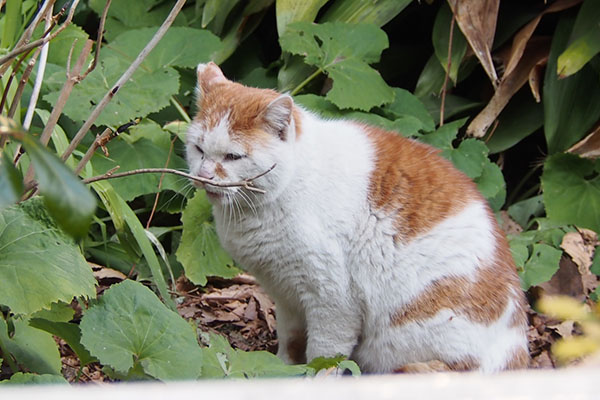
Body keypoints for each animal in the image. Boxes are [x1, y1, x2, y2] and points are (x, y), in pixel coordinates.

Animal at [185, 61, 528, 374]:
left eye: (233, 157)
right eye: (199, 149)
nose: (203, 176)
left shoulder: (333, 301)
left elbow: (324, 357)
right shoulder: (286, 296)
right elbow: (290, 343)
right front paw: (279, 369)